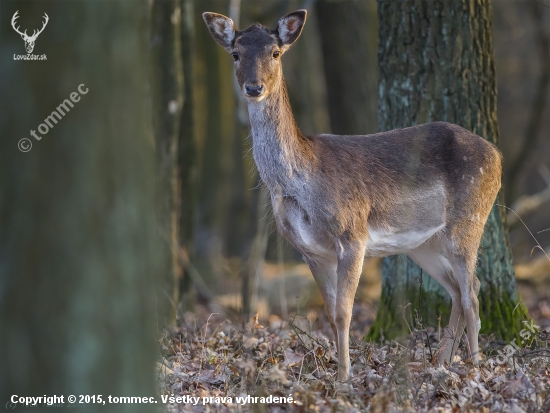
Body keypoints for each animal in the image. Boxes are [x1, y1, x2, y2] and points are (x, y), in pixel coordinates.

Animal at [204, 8, 504, 380]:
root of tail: (497, 155)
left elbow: (344, 313)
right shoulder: (310, 251)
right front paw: (337, 372)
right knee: (458, 292)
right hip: (425, 244)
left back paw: (474, 367)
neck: (300, 183)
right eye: (235, 53)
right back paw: (442, 363)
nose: (253, 87)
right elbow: (331, 316)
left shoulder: (353, 234)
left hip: (470, 219)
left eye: (275, 53)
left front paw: (345, 378)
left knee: (472, 293)